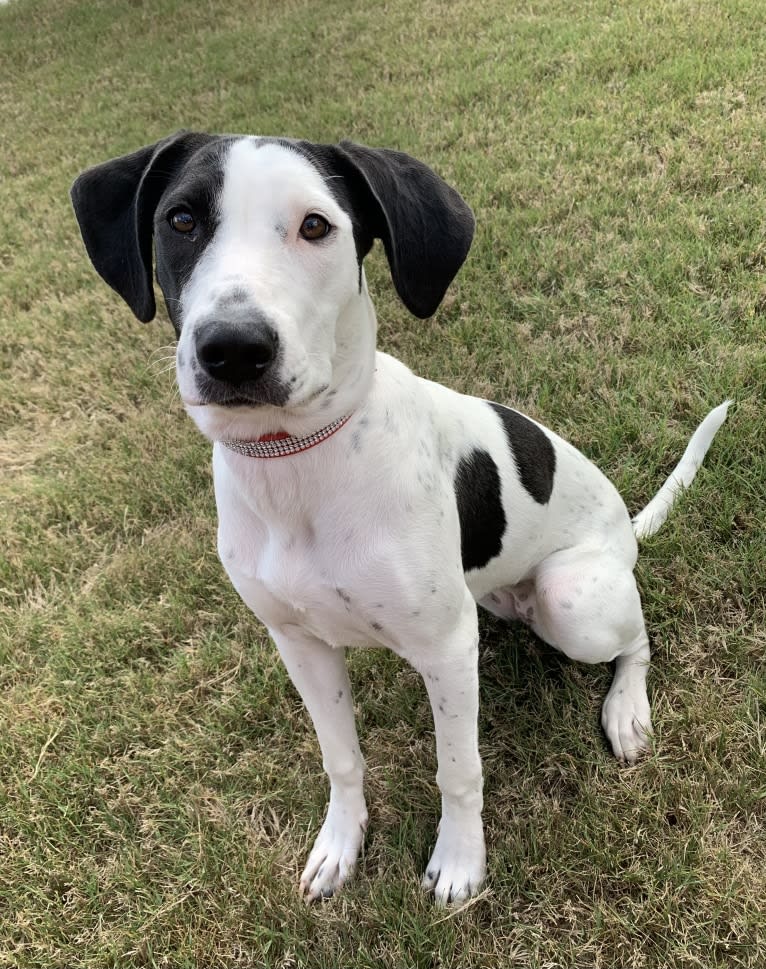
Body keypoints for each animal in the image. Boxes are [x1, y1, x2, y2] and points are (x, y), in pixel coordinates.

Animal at [72, 134, 732, 908]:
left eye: (316, 226)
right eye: (180, 220)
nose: (233, 348)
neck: (298, 464)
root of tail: (626, 529)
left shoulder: (446, 649)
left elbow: (460, 770)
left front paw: (460, 861)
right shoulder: (298, 642)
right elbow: (340, 757)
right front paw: (340, 845)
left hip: (571, 598)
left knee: (638, 640)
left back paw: (627, 708)